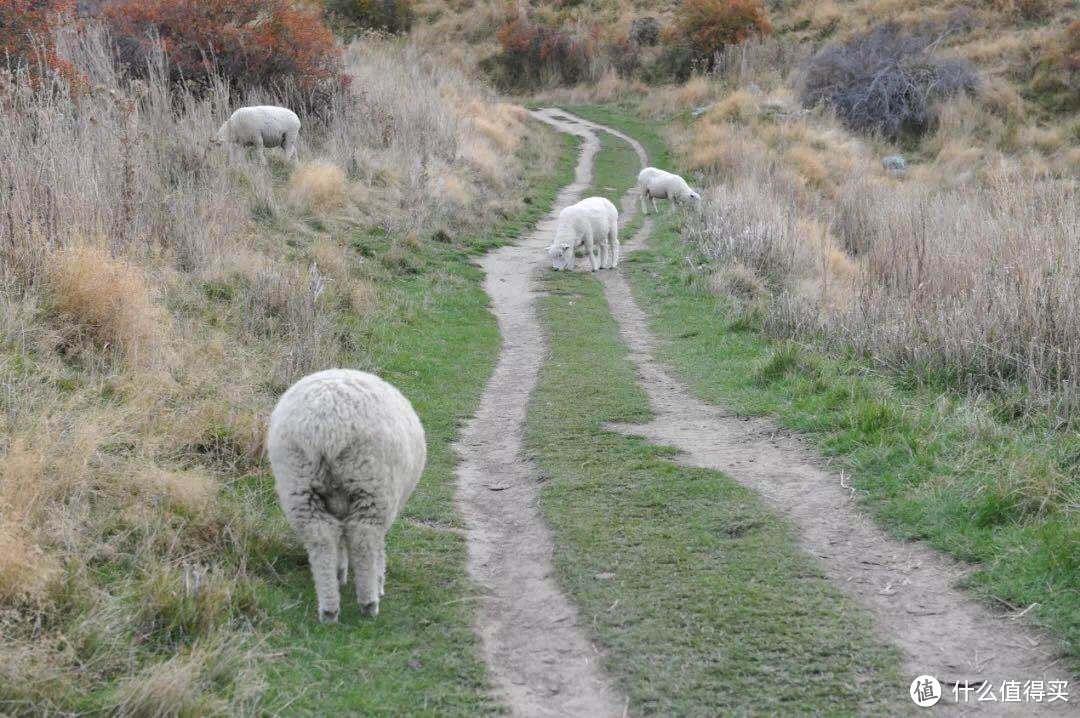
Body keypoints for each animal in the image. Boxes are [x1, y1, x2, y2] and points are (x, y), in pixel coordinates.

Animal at [265, 369, 425, 621]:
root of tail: (326, 427)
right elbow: (377, 546)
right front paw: (378, 580)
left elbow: (340, 541)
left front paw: (341, 571)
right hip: (370, 484)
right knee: (363, 537)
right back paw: (369, 602)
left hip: (299, 483)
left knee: (321, 538)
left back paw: (329, 607)